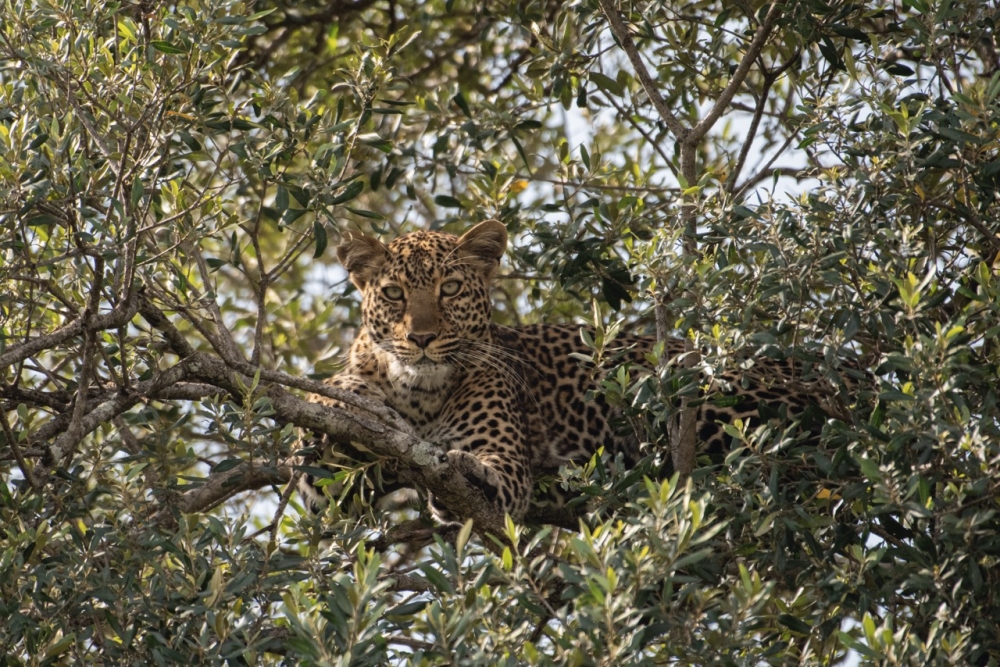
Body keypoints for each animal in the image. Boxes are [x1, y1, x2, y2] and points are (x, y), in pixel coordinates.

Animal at [296, 222, 852, 524]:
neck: (419, 396)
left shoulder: (507, 468)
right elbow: (322, 452)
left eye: (449, 289)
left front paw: (469, 471)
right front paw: (336, 396)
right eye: (393, 294)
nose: (422, 338)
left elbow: (486, 474)